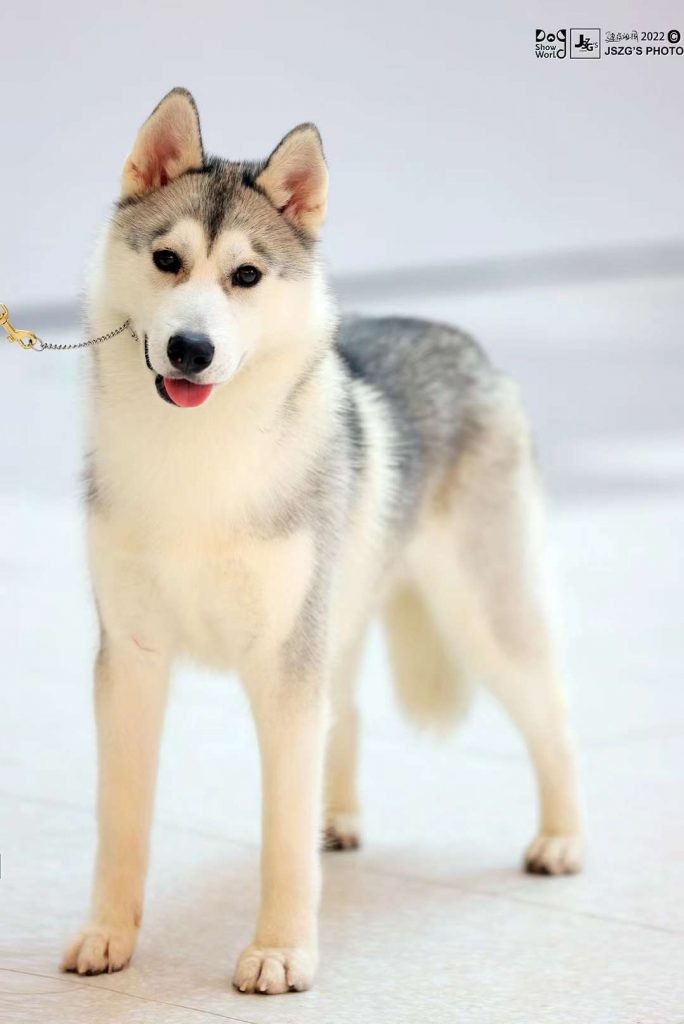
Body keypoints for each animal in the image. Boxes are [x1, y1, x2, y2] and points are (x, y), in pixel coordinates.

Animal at [61, 88, 583, 995]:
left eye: (245, 276)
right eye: (167, 260)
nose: (189, 348)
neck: (197, 461)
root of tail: (468, 343)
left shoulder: (282, 662)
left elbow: (281, 834)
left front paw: (280, 950)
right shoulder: (130, 658)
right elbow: (121, 822)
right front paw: (109, 935)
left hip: (485, 615)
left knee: (551, 715)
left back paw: (561, 839)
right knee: (351, 711)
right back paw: (337, 821)